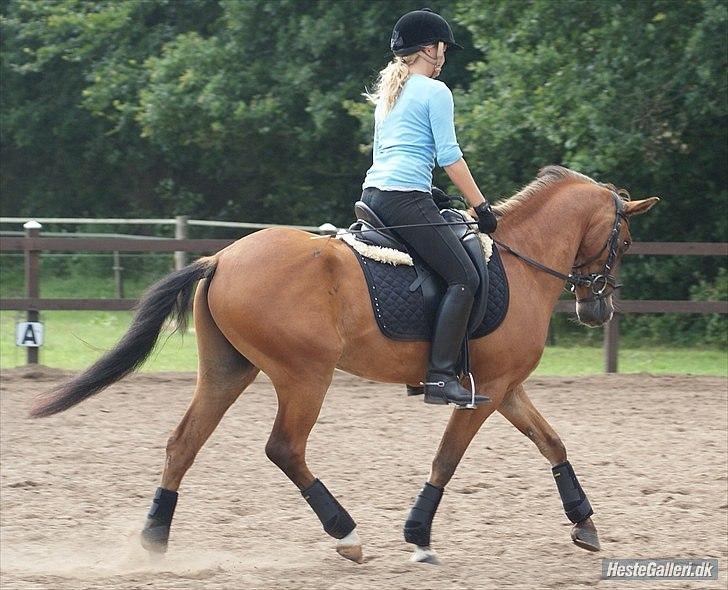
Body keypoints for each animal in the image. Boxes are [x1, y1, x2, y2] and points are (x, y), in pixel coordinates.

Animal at [31, 166, 660, 568]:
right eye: (625, 242)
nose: (596, 309)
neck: (519, 263)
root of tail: (221, 257)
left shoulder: (505, 388)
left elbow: (551, 442)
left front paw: (584, 522)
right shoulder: (484, 392)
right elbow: (447, 459)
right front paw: (418, 534)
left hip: (229, 371)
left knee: (183, 443)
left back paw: (155, 538)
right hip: (305, 375)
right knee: (284, 448)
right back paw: (347, 533)